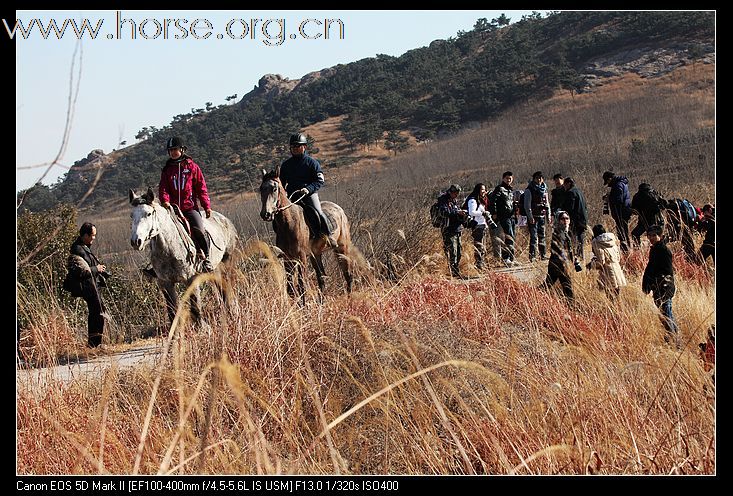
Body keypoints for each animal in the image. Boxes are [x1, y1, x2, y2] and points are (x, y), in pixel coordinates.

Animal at [129, 188, 237, 328]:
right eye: (131, 215)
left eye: (148, 214)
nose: (136, 241)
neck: (169, 249)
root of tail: (225, 219)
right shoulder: (165, 283)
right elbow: (172, 311)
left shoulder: (191, 278)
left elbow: (195, 306)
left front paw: (203, 329)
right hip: (215, 268)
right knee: (221, 286)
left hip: (227, 261)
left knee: (227, 284)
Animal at [258, 169, 354, 300]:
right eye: (261, 189)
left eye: (274, 188)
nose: (266, 214)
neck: (289, 223)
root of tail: (339, 209)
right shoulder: (288, 259)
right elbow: (290, 289)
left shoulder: (301, 257)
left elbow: (301, 285)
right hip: (315, 255)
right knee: (321, 278)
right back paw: (321, 302)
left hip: (342, 248)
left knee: (347, 274)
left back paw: (349, 298)